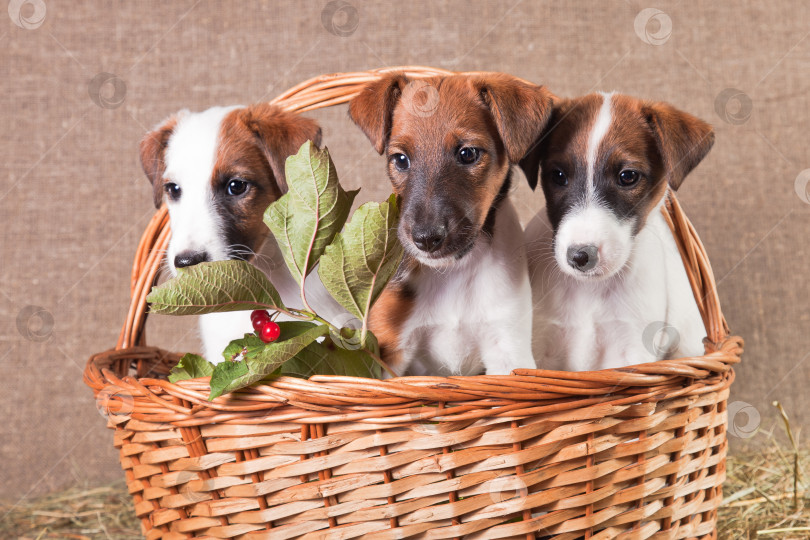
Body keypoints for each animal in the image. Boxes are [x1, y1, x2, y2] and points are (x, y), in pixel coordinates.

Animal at [344, 73, 552, 376]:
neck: (454, 272)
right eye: (400, 159)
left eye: (468, 154)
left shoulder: (509, 351)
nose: (426, 239)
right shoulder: (389, 350)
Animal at [516, 93, 712, 372]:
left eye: (627, 176)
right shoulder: (540, 346)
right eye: (558, 175)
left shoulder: (632, 349)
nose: (580, 256)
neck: (590, 291)